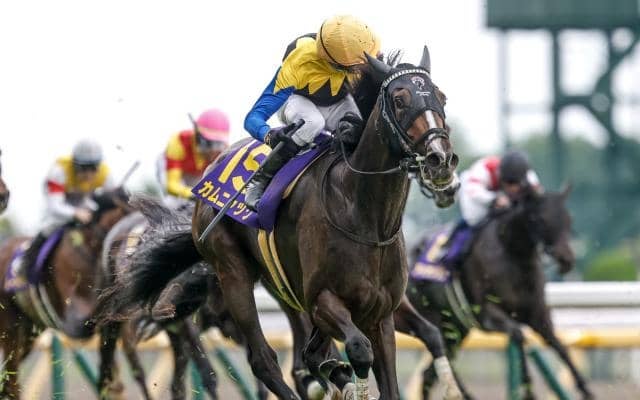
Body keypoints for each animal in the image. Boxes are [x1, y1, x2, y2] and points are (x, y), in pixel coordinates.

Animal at [97, 48, 461, 400]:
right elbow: (358, 349)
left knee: (306, 355)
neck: (366, 217)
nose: (440, 159)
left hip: (280, 285)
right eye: (399, 100)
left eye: (441, 97)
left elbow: (408, 355)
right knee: (263, 360)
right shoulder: (323, 300)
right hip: (232, 273)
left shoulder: (381, 312)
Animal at [401, 185, 594, 399]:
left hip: (458, 327)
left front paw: (586, 390)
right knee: (435, 363)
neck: (513, 254)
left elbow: (559, 346)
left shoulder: (539, 314)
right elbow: (519, 336)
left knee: (429, 374)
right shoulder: (487, 314)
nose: (566, 259)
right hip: (436, 320)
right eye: (540, 218)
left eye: (569, 219)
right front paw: (528, 391)